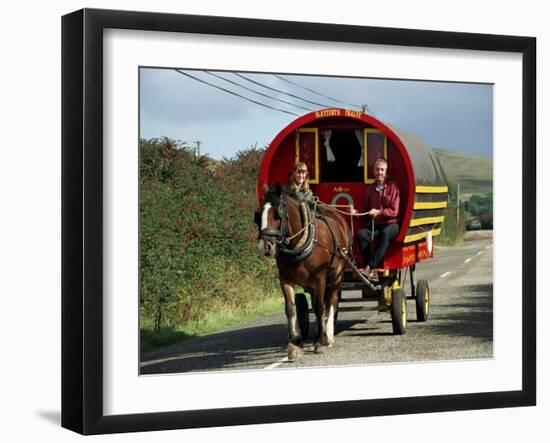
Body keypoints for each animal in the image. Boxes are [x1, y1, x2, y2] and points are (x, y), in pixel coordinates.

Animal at [256, 184, 352, 360]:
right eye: (259, 214)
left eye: (278, 213)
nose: (265, 246)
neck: (297, 244)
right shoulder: (285, 279)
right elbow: (290, 308)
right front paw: (295, 344)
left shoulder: (320, 279)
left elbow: (319, 308)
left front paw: (319, 341)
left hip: (337, 275)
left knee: (332, 300)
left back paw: (328, 335)